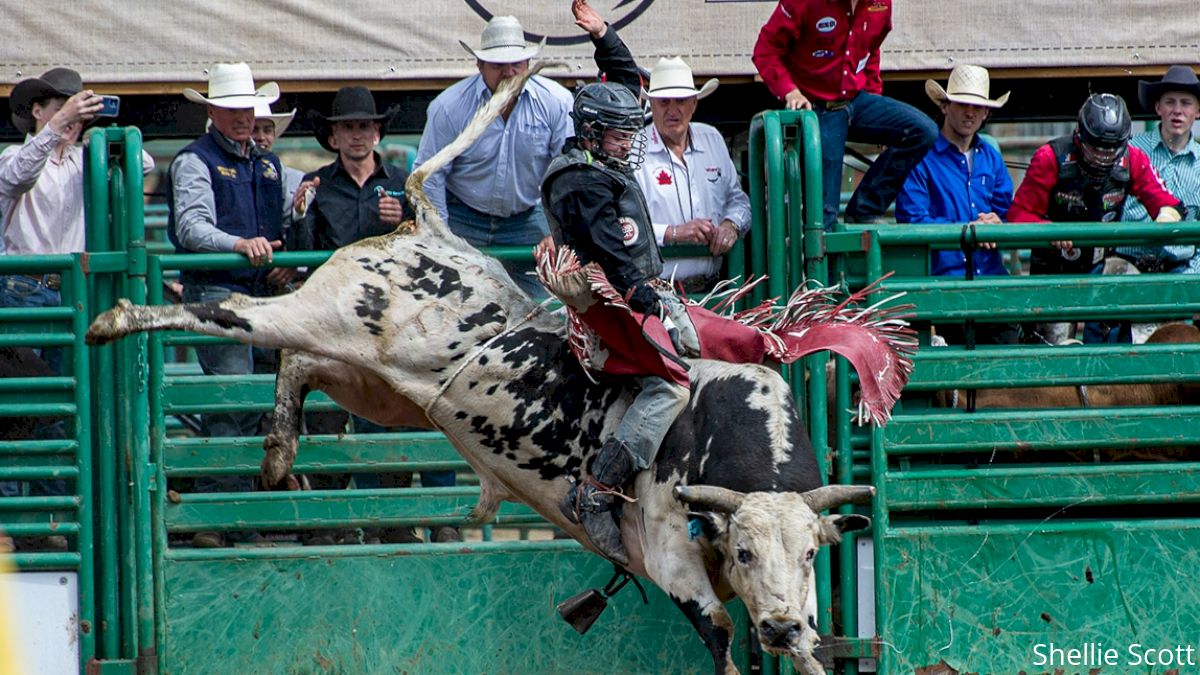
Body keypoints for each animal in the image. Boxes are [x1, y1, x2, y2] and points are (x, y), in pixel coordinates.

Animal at [82, 66, 907, 672]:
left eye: (811, 551)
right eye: (742, 548)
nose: (780, 624)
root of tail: (423, 225)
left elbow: (807, 656)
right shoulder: (673, 558)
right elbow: (718, 635)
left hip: (377, 384)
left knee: (298, 363)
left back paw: (279, 452)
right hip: (330, 311)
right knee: (235, 315)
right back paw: (113, 319)